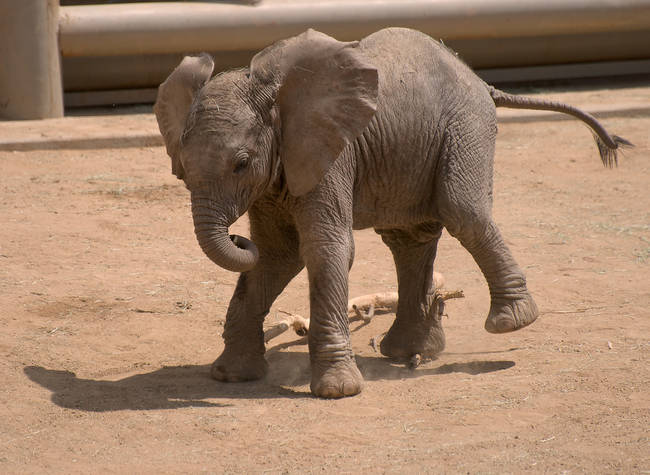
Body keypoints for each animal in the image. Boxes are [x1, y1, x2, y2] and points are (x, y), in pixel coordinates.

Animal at [152, 26, 628, 398]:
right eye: (181, 166)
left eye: (241, 163)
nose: (236, 235)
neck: (269, 90)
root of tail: (480, 80)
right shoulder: (279, 173)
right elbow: (276, 255)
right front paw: (230, 376)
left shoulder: (330, 153)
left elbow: (324, 249)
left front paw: (337, 391)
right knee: (409, 237)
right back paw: (409, 351)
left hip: (465, 127)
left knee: (463, 211)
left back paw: (510, 323)